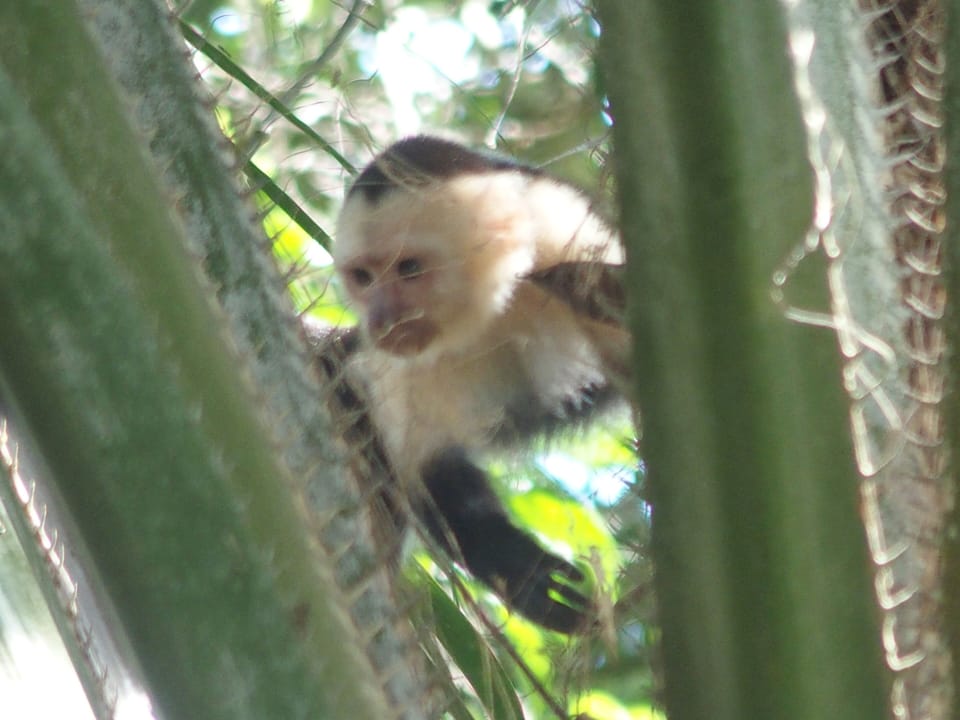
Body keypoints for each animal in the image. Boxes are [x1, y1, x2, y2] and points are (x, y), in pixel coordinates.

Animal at [321, 135, 630, 634]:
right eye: (363, 277)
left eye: (409, 268)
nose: (382, 320)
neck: (499, 302)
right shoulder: (409, 362)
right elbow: (429, 467)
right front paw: (525, 573)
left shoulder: (573, 239)